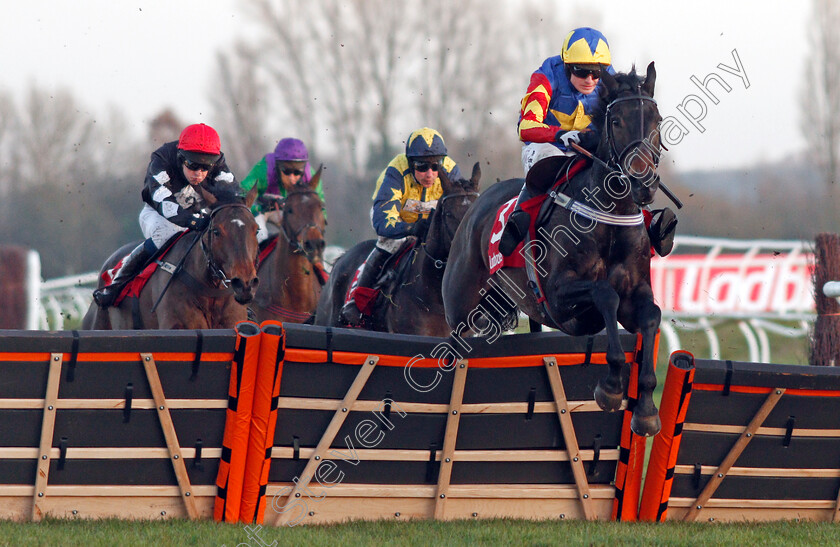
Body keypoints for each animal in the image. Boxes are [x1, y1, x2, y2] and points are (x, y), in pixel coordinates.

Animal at [442, 64, 668, 438]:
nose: (643, 184)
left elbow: (651, 316)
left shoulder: (635, 293)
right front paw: (610, 387)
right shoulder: (560, 296)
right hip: (460, 308)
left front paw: (647, 409)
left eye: (657, 119)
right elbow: (605, 293)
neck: (611, 215)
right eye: (616, 121)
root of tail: (474, 206)